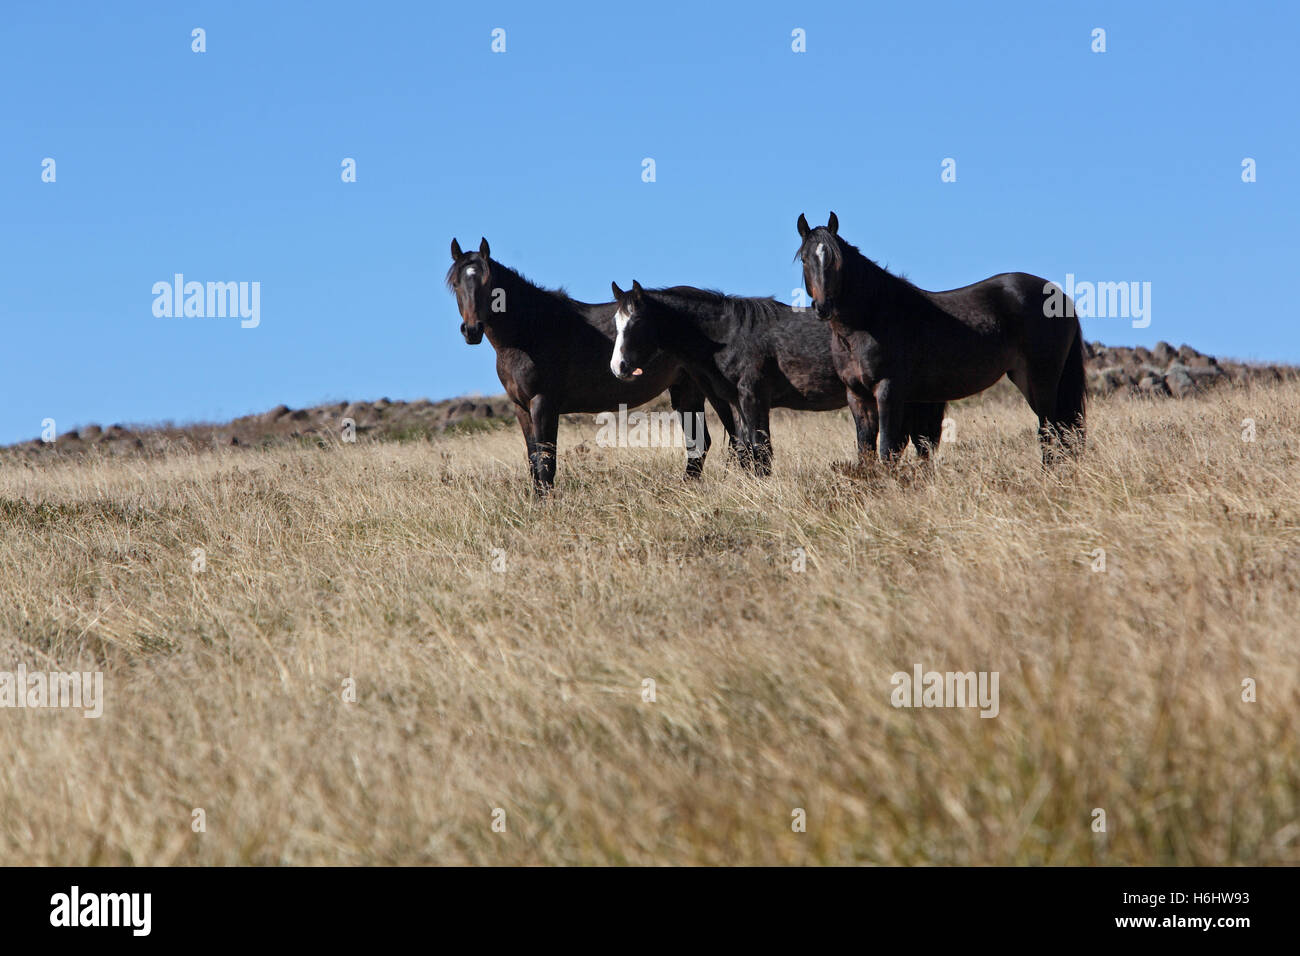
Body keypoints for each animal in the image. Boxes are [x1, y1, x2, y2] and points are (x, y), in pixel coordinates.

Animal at [447, 238, 738, 494]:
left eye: (487, 283)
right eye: (456, 284)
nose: (472, 330)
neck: (530, 332)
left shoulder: (543, 404)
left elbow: (546, 462)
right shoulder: (521, 408)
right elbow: (533, 460)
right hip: (686, 391)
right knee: (700, 445)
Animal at [603, 280, 951, 476]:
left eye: (637, 322)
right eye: (616, 322)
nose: (618, 366)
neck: (727, 334)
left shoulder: (754, 397)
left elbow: (761, 450)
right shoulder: (736, 403)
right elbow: (745, 449)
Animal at [795, 210, 1081, 465]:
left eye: (836, 261)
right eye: (805, 260)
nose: (823, 307)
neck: (869, 320)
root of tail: (1059, 297)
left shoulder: (888, 392)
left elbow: (887, 450)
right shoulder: (857, 397)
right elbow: (866, 453)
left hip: (1041, 380)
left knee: (1050, 433)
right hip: (1026, 378)